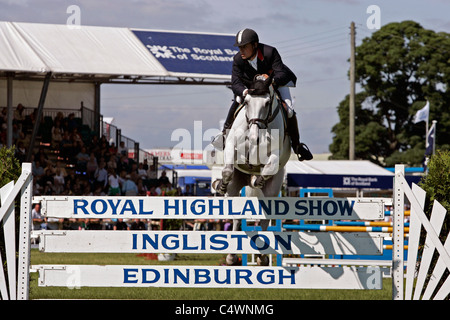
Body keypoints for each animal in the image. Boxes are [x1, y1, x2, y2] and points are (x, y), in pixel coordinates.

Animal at [214, 75, 292, 264]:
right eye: (247, 102)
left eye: (267, 103)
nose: (254, 136)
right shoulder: (232, 147)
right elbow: (227, 170)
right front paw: (220, 186)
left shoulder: (276, 154)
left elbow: (268, 168)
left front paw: (257, 180)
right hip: (235, 187)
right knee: (236, 216)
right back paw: (231, 256)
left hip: (273, 191)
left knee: (264, 220)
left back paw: (261, 256)